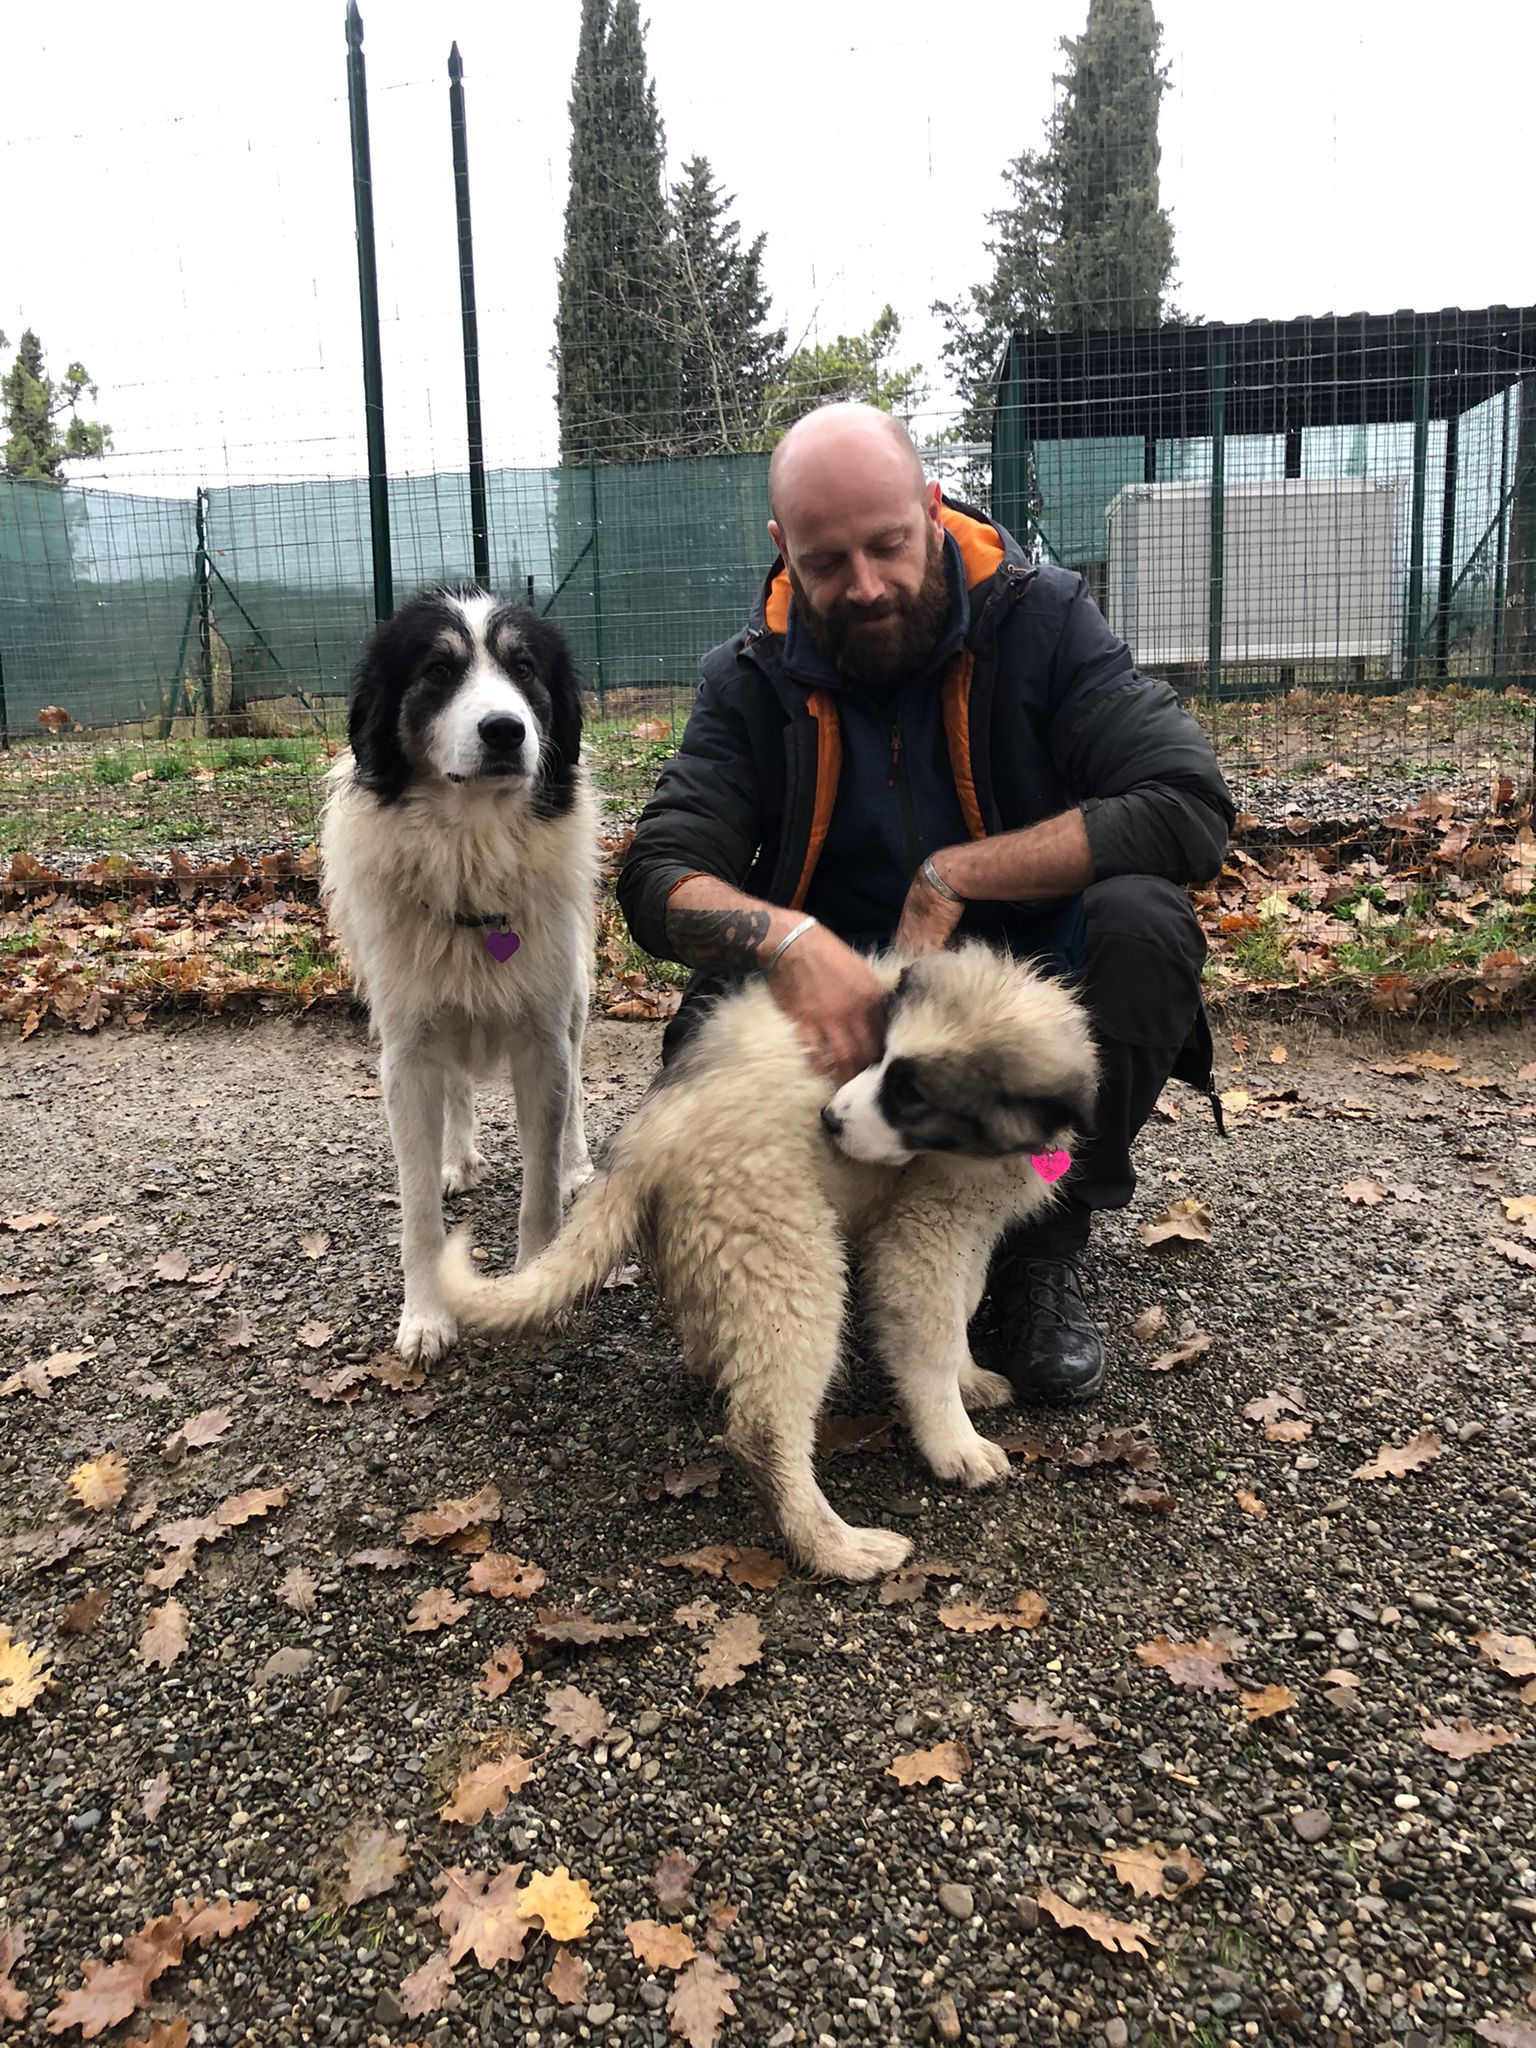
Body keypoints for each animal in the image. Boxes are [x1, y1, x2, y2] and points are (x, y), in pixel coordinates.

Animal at [319, 587, 599, 1364]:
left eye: (525, 667)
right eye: (439, 671)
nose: (506, 731)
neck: (472, 850)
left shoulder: (542, 1042)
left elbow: (538, 1188)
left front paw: (535, 1285)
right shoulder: (407, 1052)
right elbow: (416, 1211)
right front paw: (425, 1315)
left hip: (575, 1000)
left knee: (574, 1099)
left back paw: (576, 1166)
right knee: (456, 1092)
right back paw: (457, 1158)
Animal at [437, 942, 1097, 1580]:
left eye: (912, 1096)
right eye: (880, 1057)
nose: (830, 1121)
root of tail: (653, 1129)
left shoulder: (967, 1224)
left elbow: (962, 1302)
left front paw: (969, 1376)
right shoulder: (920, 1233)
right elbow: (930, 1337)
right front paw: (955, 1442)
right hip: (786, 1254)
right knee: (765, 1425)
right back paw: (837, 1548)